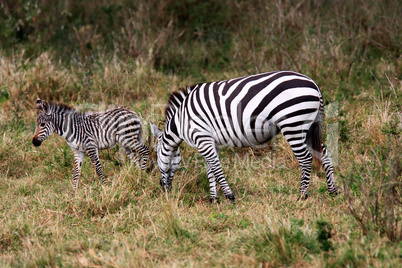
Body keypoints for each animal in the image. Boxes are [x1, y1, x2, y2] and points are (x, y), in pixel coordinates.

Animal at [149, 70, 338, 202]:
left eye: (157, 154)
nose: (162, 188)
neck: (180, 122)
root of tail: (314, 84)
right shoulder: (210, 141)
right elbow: (211, 170)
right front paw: (213, 199)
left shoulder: (202, 139)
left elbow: (215, 168)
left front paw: (229, 196)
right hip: (308, 126)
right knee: (323, 152)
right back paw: (333, 191)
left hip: (293, 123)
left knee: (305, 159)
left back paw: (302, 196)